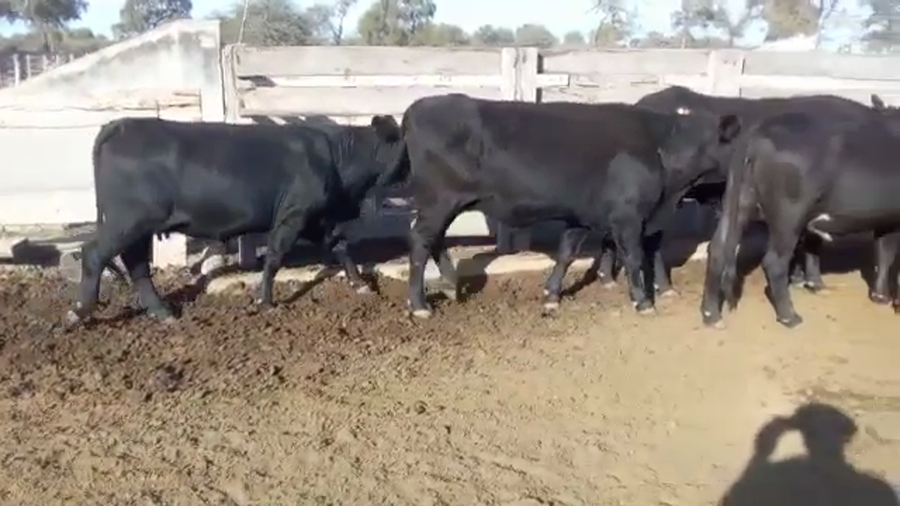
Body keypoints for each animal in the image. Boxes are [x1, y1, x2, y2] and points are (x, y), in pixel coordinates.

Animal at [65, 115, 403, 326]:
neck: (335, 156)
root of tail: (122, 124)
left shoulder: (317, 219)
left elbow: (341, 247)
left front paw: (360, 285)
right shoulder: (293, 215)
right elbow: (275, 258)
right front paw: (265, 302)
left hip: (137, 224)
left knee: (135, 263)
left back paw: (161, 311)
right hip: (130, 219)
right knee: (94, 254)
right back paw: (80, 312)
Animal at [378, 93, 741, 318]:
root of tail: (417, 108)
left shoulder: (585, 215)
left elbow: (567, 254)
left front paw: (551, 296)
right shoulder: (629, 217)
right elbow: (635, 256)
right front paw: (643, 301)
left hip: (442, 203)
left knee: (434, 240)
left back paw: (452, 286)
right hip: (439, 200)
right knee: (421, 241)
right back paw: (420, 304)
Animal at [700, 109, 900, 329]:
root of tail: (757, 132)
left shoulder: (886, 218)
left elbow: (883, 253)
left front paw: (879, 296)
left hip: (739, 200)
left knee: (718, 248)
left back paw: (712, 316)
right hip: (789, 215)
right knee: (775, 261)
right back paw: (790, 317)